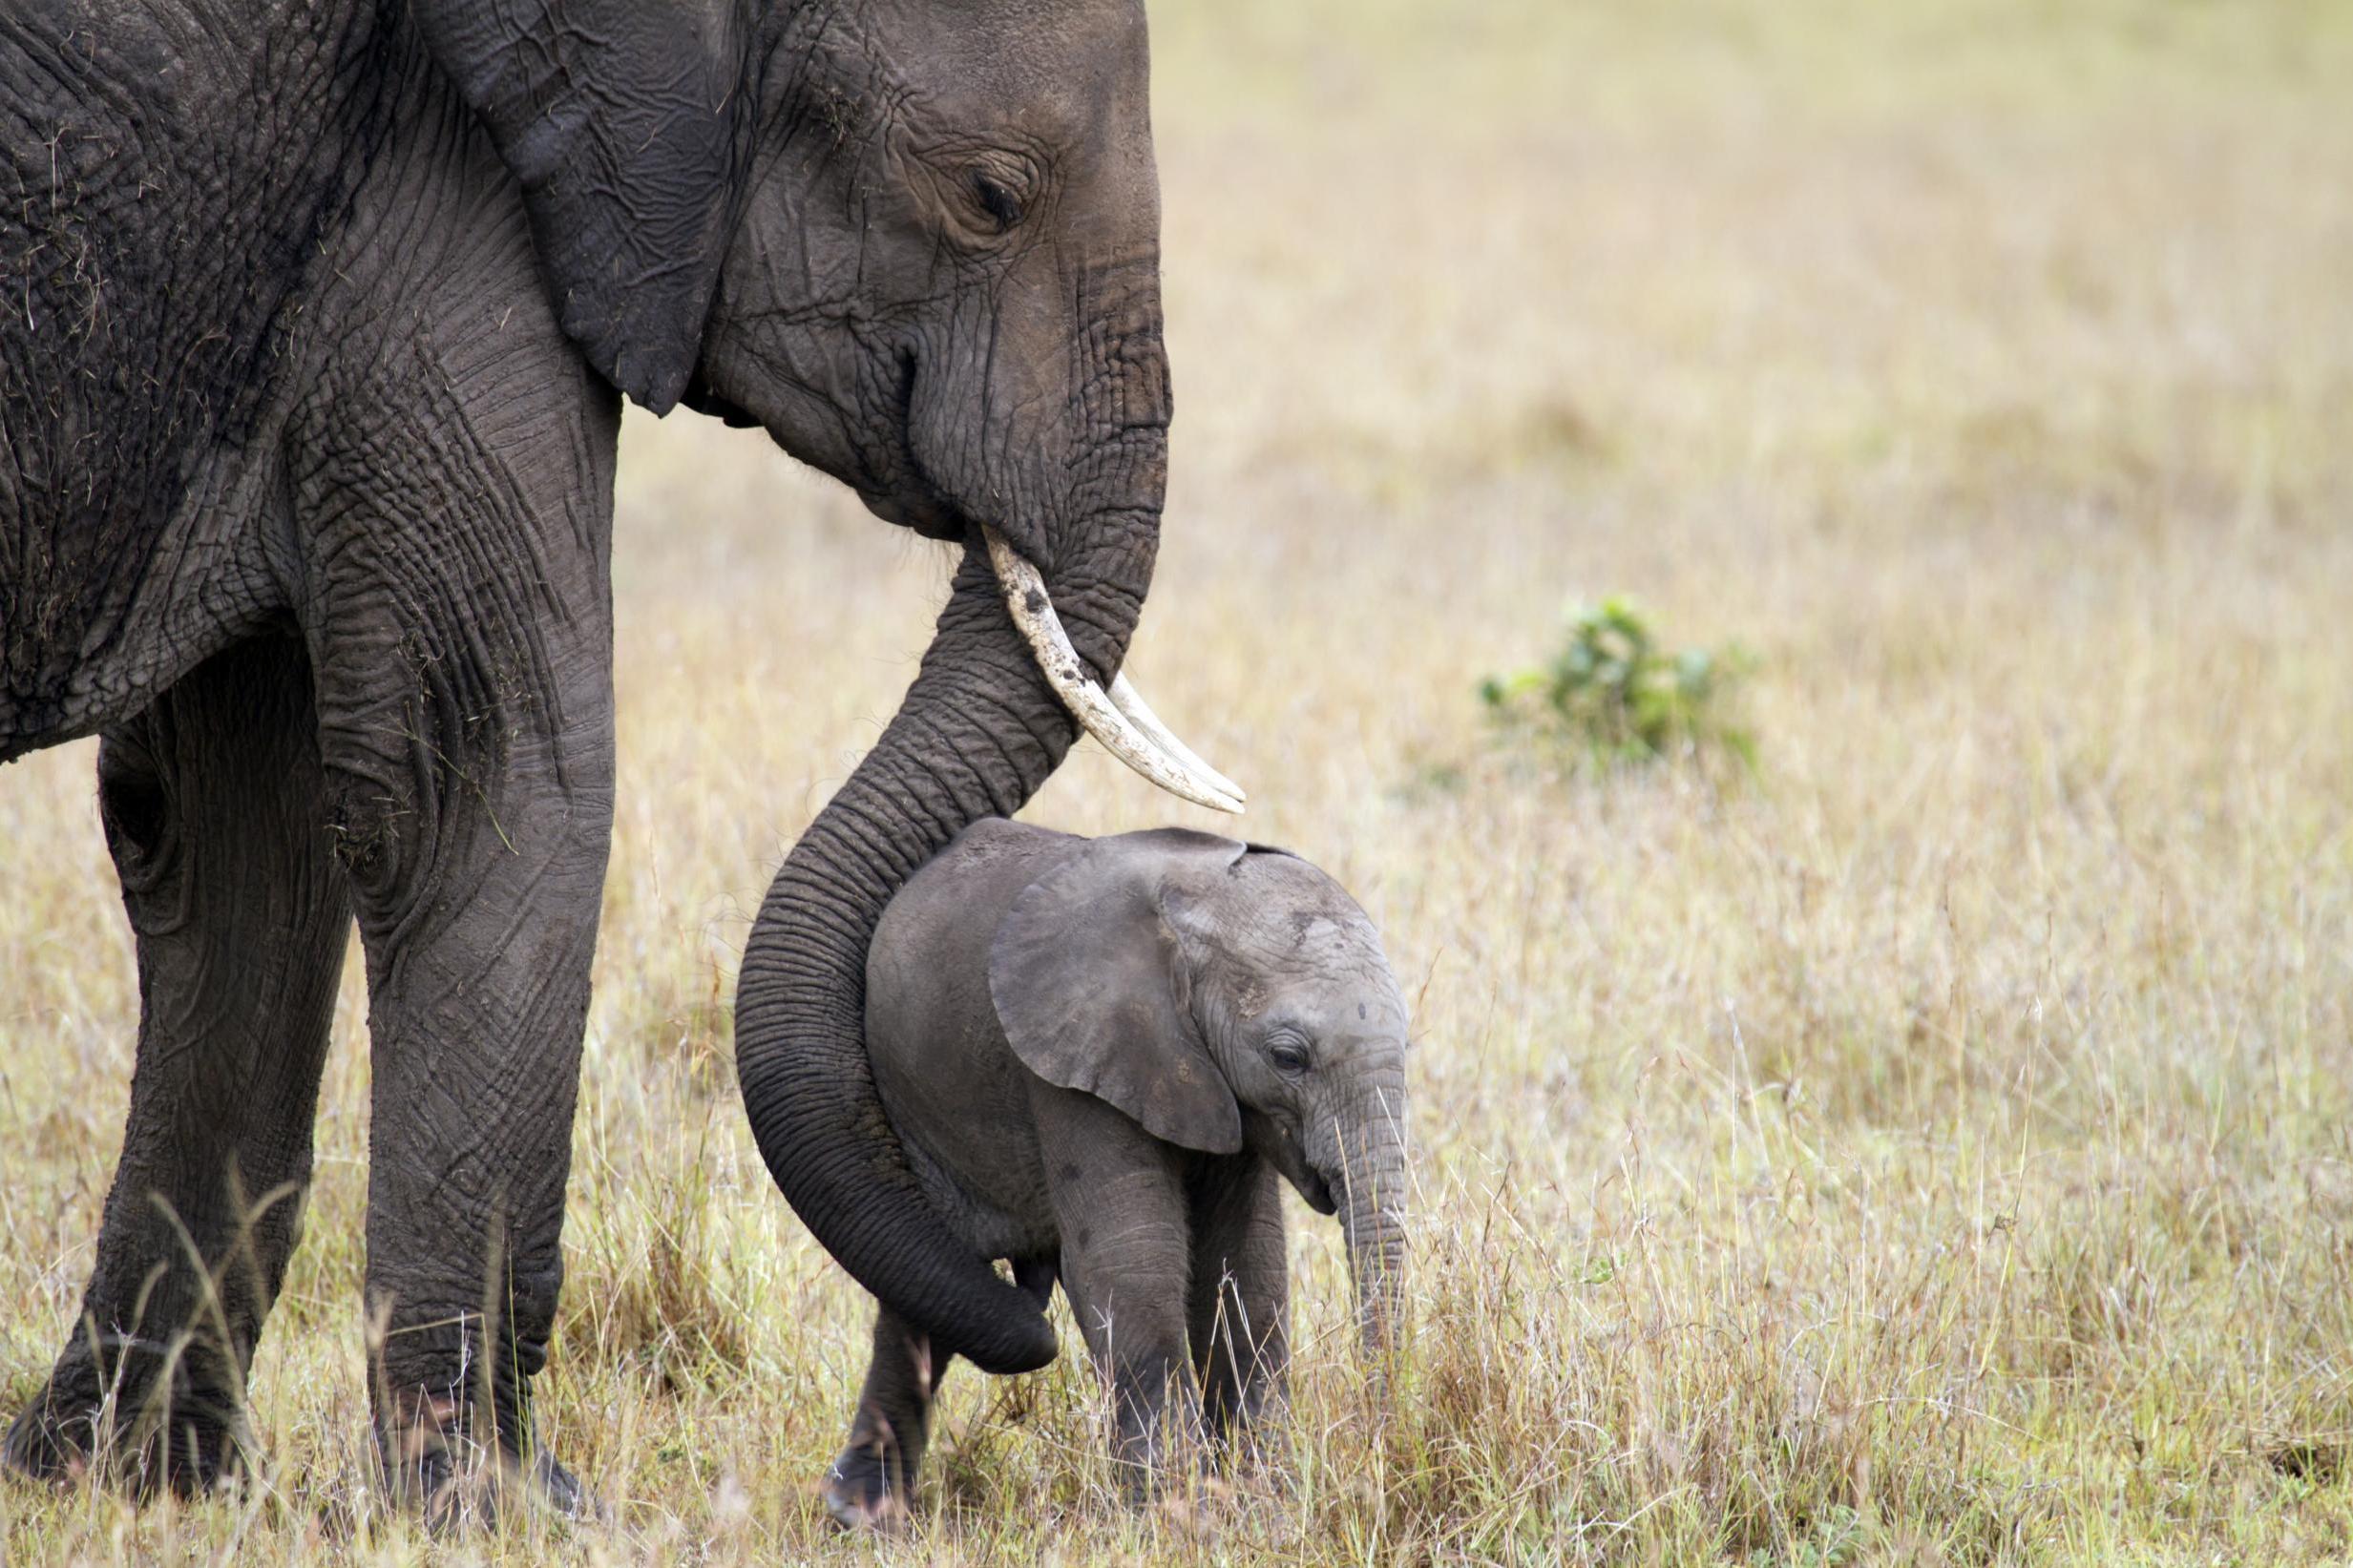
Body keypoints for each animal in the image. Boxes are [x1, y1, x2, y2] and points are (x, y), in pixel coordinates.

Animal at [0, 0, 1242, 1514]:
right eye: (990, 198)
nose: (1027, 1302)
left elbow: (235, 821)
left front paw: (122, 1482)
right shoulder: (440, 190)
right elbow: (486, 777)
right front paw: (498, 1501)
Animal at [823, 823, 1412, 1533]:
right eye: (1287, 1058)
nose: (1384, 1453)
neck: (1193, 902)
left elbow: (1245, 1269)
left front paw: (1261, 1504)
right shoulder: (1077, 1059)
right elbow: (1133, 1265)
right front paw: (1175, 1518)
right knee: (924, 1280)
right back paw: (863, 1516)